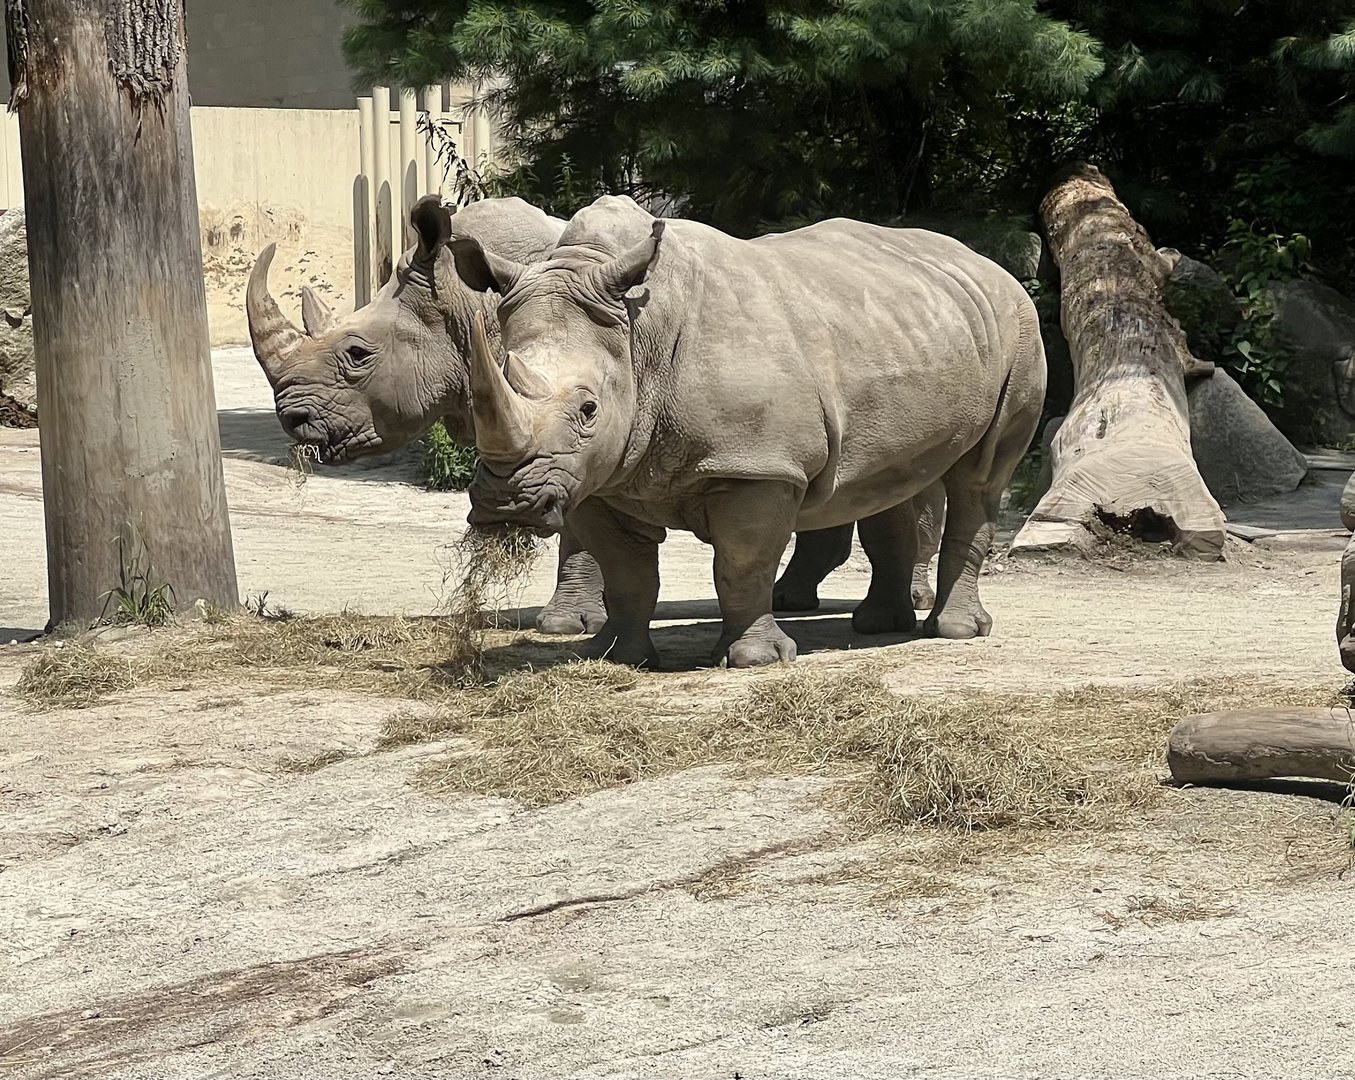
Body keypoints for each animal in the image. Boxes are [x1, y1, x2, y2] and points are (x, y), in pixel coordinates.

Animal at [246, 193, 945, 633]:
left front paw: (567, 623)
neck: (472, 304)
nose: (293, 422)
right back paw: (793, 599)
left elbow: (578, 522)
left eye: (356, 354)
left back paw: (902, 602)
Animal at [450, 195, 1044, 667]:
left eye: (589, 409)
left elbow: (742, 562)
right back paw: (879, 626)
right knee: (895, 477)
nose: (505, 505)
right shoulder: (600, 474)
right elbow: (627, 571)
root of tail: (989, 264)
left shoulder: (757, 465)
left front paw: (755, 660)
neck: (638, 334)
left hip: (1021, 328)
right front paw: (616, 657)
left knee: (978, 480)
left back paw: (955, 632)